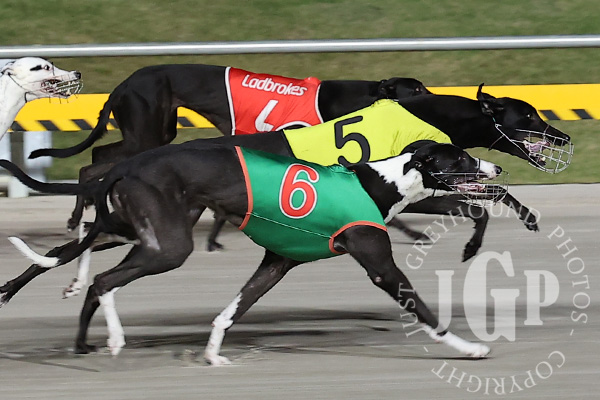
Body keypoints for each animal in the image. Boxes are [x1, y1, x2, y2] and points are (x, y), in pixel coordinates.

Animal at [1, 140, 501, 364]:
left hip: (135, 232)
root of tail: (125, 166)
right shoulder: (380, 266)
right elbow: (427, 313)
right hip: (168, 247)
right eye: (460, 158)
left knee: (76, 253)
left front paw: (213, 354)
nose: (496, 167)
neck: (382, 182)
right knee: (104, 280)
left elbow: (232, 311)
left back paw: (74, 327)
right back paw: (114, 338)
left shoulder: (277, 263)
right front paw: (470, 347)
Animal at [27, 64, 429, 230]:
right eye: (417, 89)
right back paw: (78, 214)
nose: (436, 93)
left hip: (151, 133)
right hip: (146, 135)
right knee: (93, 165)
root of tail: (123, 84)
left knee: (97, 158)